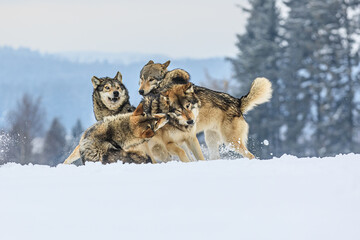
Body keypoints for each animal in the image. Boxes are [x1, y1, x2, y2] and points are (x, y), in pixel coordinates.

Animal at [136, 61, 272, 160]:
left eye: (151, 79)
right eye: (141, 79)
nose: (140, 91)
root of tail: (237, 102)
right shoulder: (183, 139)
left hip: (230, 142)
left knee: (251, 155)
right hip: (211, 140)